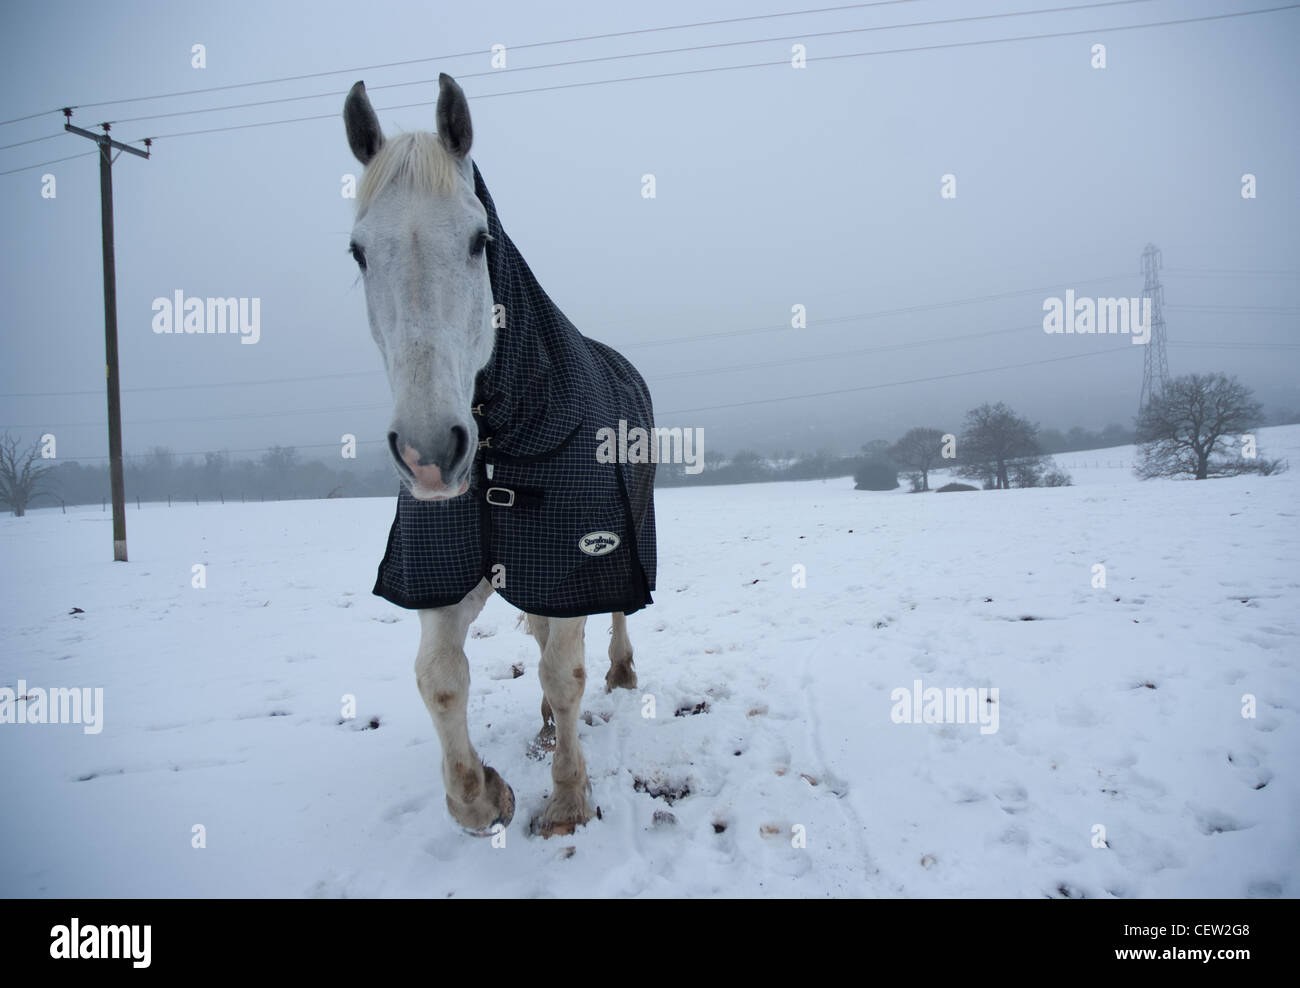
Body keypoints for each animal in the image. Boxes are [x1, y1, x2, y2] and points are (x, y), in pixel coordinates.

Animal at [343, 73, 655, 837]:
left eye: (478, 240)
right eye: (358, 251)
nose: (429, 450)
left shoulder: (576, 559)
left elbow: (565, 674)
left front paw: (568, 800)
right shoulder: (441, 569)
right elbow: (439, 680)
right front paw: (485, 793)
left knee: (612, 619)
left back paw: (621, 673)